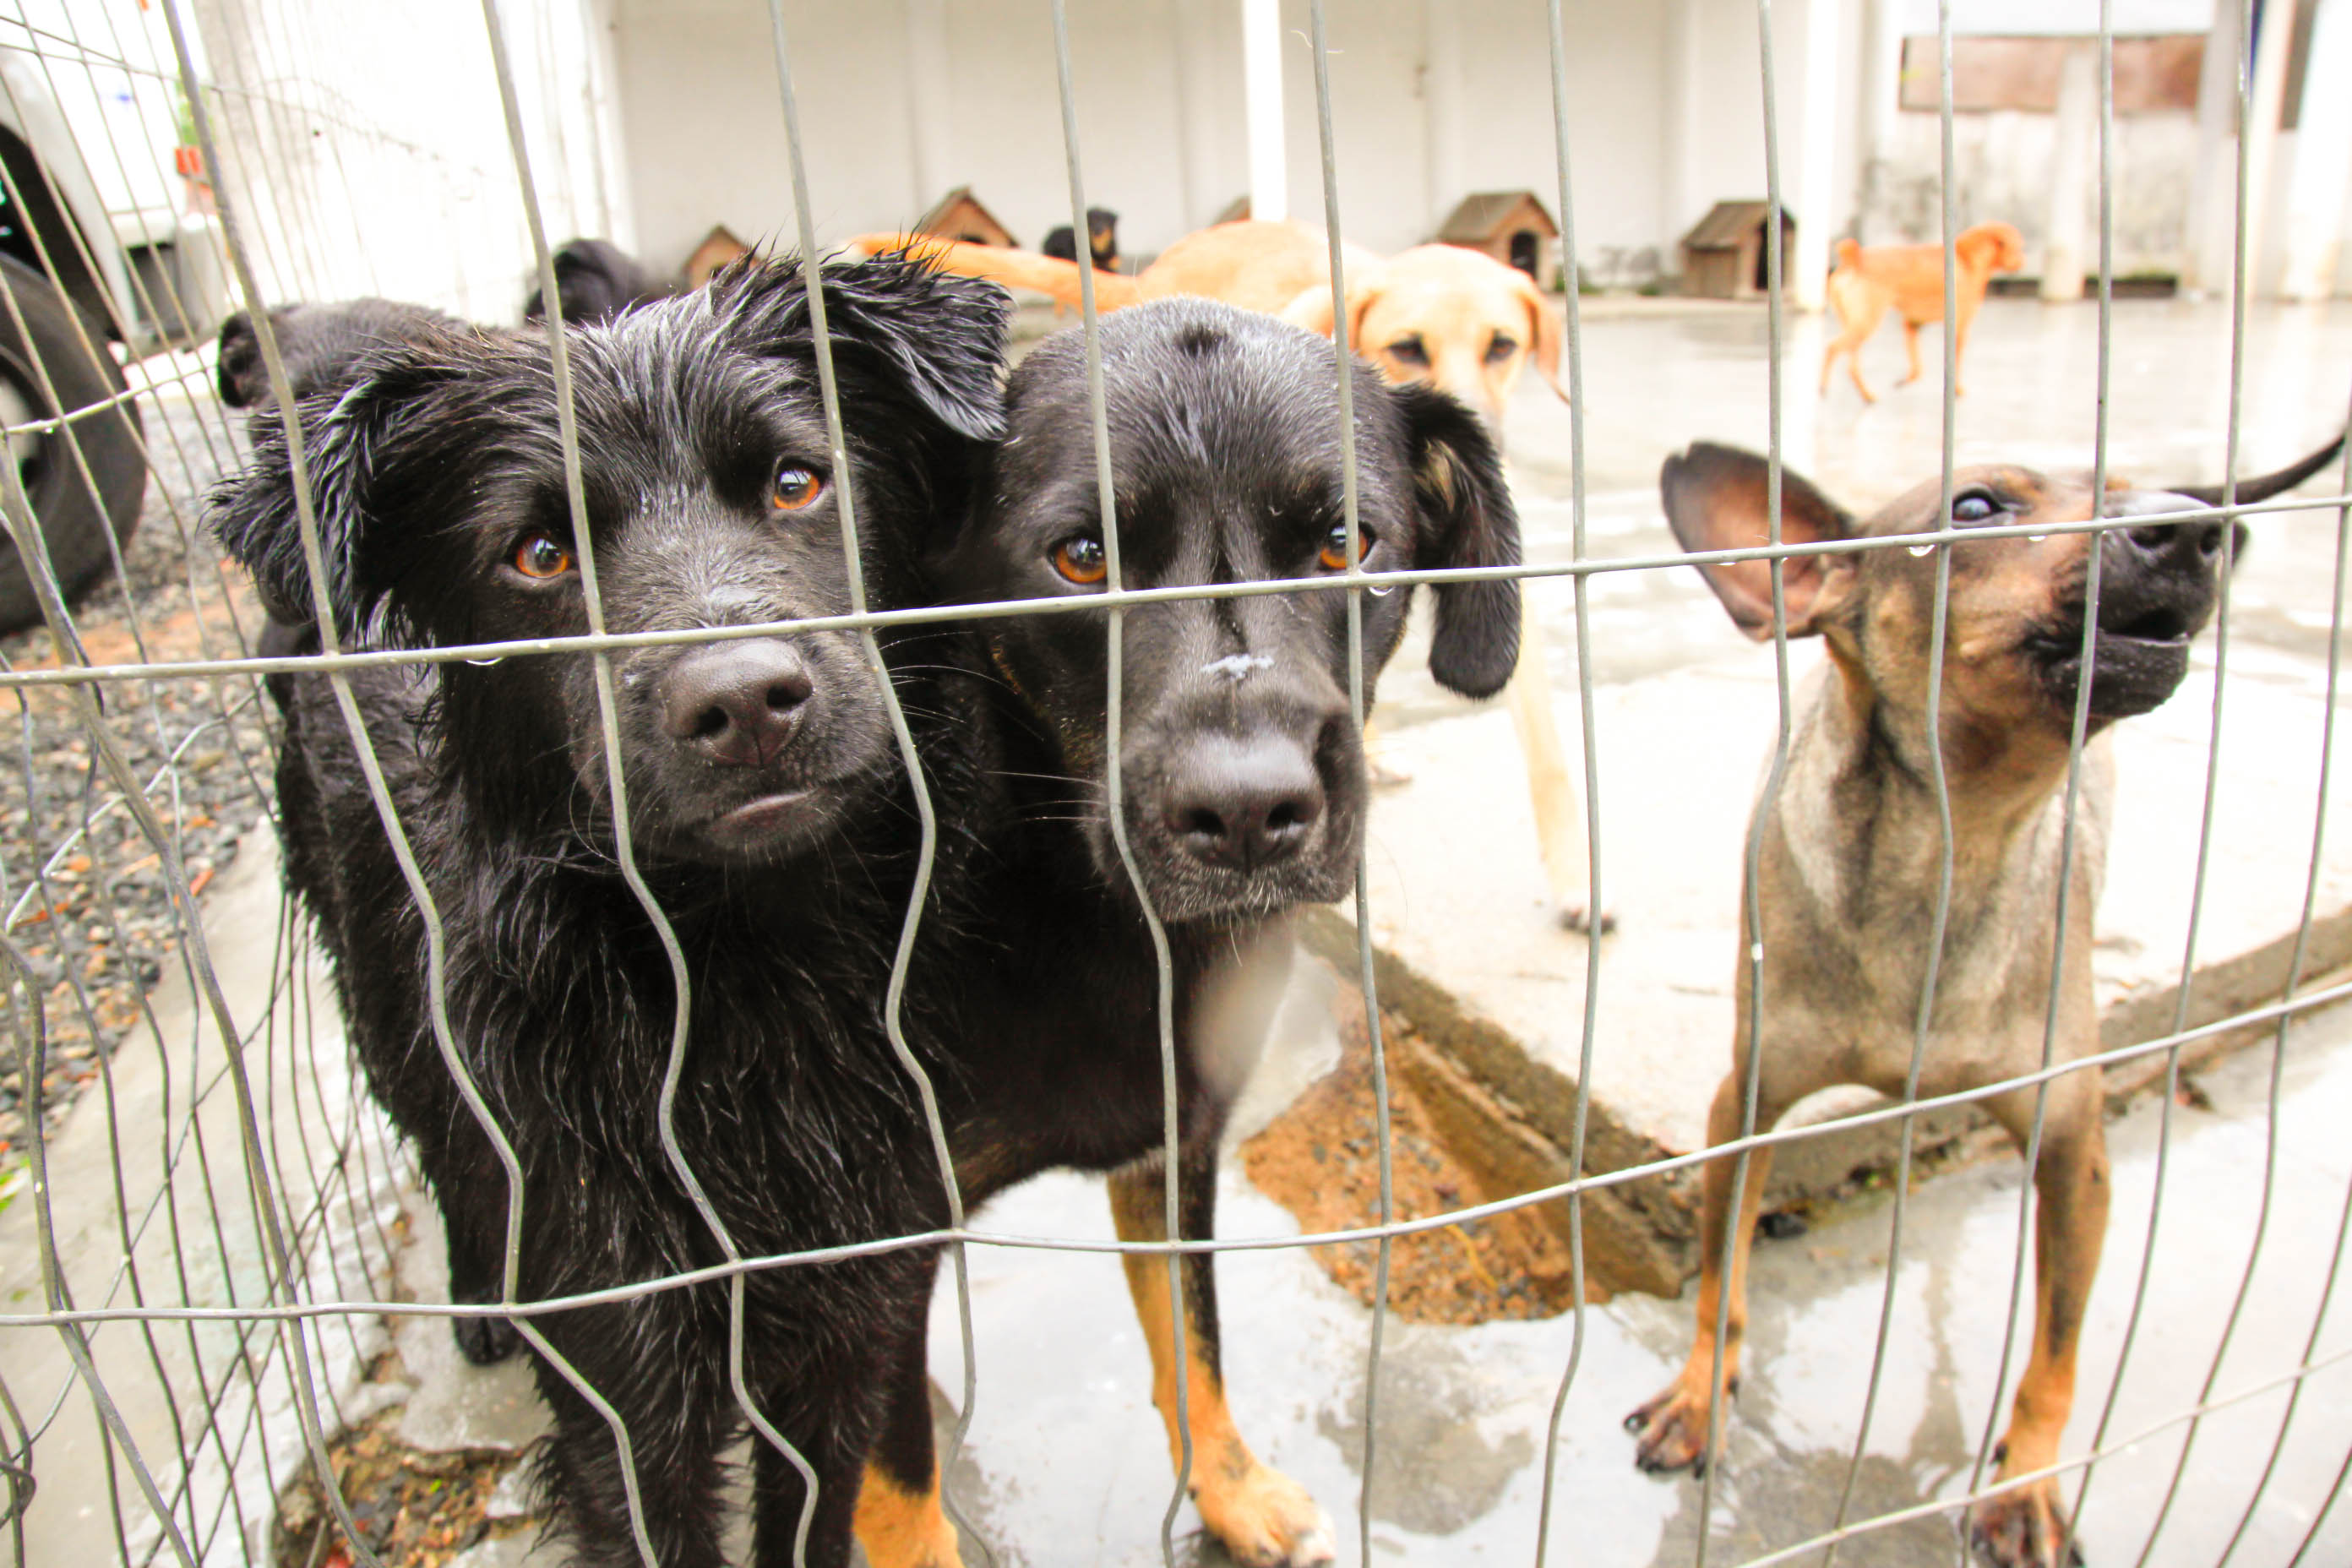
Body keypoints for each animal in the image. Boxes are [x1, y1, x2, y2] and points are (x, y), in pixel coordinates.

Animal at [209, 257, 1001, 1568]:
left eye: (796, 481)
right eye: (537, 554)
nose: (746, 702)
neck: (738, 983)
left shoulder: (853, 1326)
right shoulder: (624, 1403)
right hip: (378, 1000)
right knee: (439, 1150)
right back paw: (482, 1307)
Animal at [870, 297, 1524, 1568]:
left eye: (1345, 540)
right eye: (1082, 558)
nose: (1250, 814)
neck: (1074, 919)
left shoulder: (1175, 1147)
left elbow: (1197, 1345)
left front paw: (1236, 1495)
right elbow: (898, 1500)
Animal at [1627, 433, 2342, 1568]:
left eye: (2123, 488)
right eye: (1974, 507)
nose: (2196, 527)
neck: (1939, 851)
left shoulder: (2075, 1156)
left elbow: (2056, 1353)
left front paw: (2025, 1484)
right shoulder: (1744, 1108)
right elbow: (1720, 1284)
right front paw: (1702, 1396)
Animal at [1816, 220, 2023, 404]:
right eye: (2019, 247)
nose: (2023, 261)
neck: (1966, 257)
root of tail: (1855, 258)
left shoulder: (1912, 324)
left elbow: (1917, 368)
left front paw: (1905, 381)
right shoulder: (1960, 328)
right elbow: (1954, 364)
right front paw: (1957, 389)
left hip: (1856, 325)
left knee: (1851, 364)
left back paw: (1865, 394)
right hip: (1866, 324)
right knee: (1833, 349)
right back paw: (1827, 388)